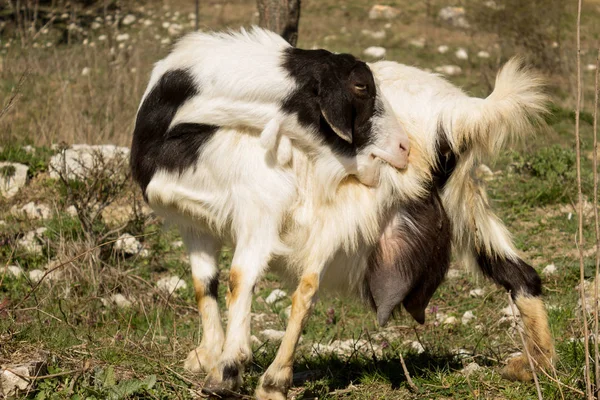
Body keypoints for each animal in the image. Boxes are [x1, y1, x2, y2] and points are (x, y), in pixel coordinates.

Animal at [131, 28, 552, 400]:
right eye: (361, 87)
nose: (403, 148)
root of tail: (458, 113)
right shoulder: (195, 222)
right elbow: (204, 284)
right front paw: (208, 355)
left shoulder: (262, 201)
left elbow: (240, 278)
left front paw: (228, 369)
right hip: (463, 203)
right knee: (521, 274)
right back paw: (535, 367)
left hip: (351, 206)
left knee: (306, 287)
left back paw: (273, 382)